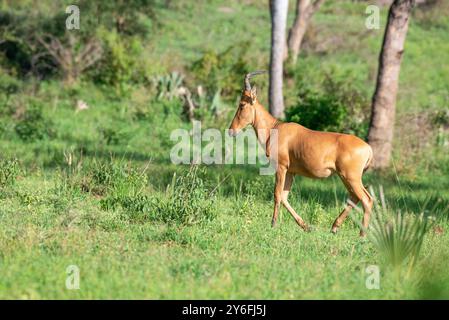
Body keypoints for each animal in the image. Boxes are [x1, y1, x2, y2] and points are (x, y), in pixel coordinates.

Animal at [229, 71, 372, 236]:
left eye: (242, 104)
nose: (231, 130)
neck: (276, 128)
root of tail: (368, 148)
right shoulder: (291, 171)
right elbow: (284, 197)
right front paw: (305, 226)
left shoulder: (281, 168)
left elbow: (277, 194)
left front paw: (273, 224)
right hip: (345, 177)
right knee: (354, 197)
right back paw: (334, 227)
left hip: (351, 177)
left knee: (366, 199)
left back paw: (361, 235)